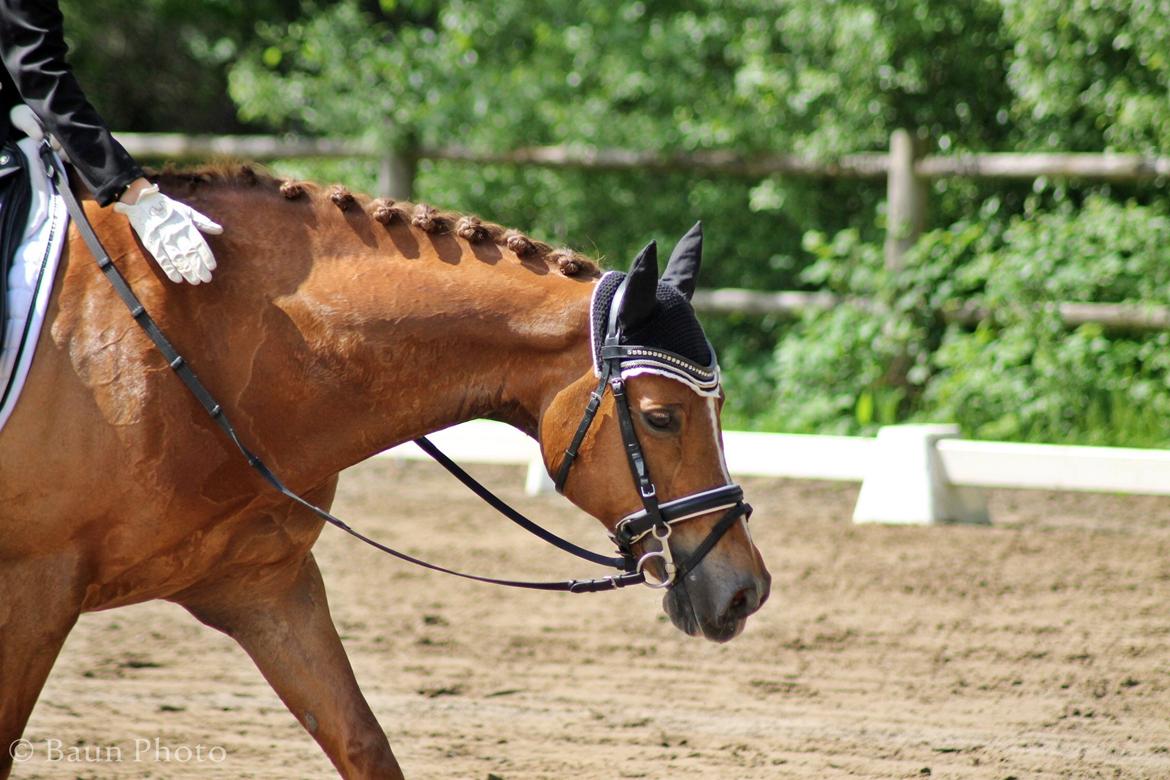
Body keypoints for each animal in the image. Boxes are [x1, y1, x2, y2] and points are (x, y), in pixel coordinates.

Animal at [0, 165, 771, 778]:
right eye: (662, 417)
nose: (746, 592)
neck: (204, 346)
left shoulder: (266, 587)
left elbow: (364, 744)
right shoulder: (34, 590)